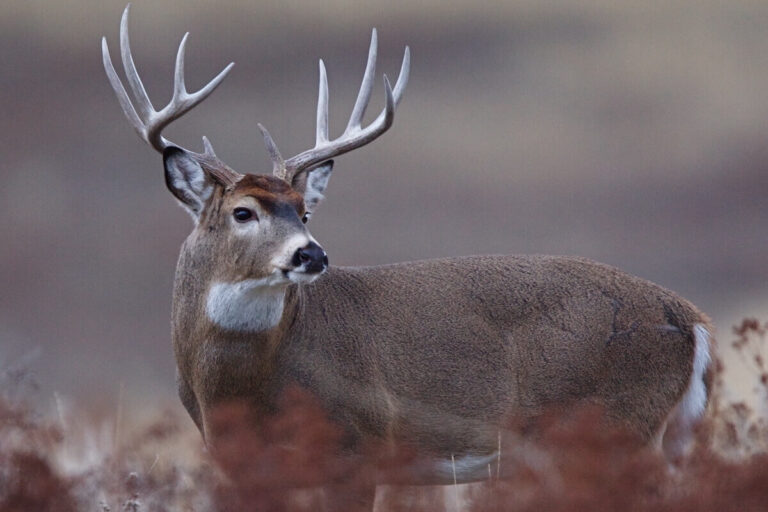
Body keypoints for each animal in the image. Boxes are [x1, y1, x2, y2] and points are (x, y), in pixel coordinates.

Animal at [102, 6, 714, 509]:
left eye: (304, 212)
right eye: (243, 212)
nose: (312, 255)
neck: (238, 390)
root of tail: (692, 319)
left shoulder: (356, 448)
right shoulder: (243, 469)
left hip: (614, 428)